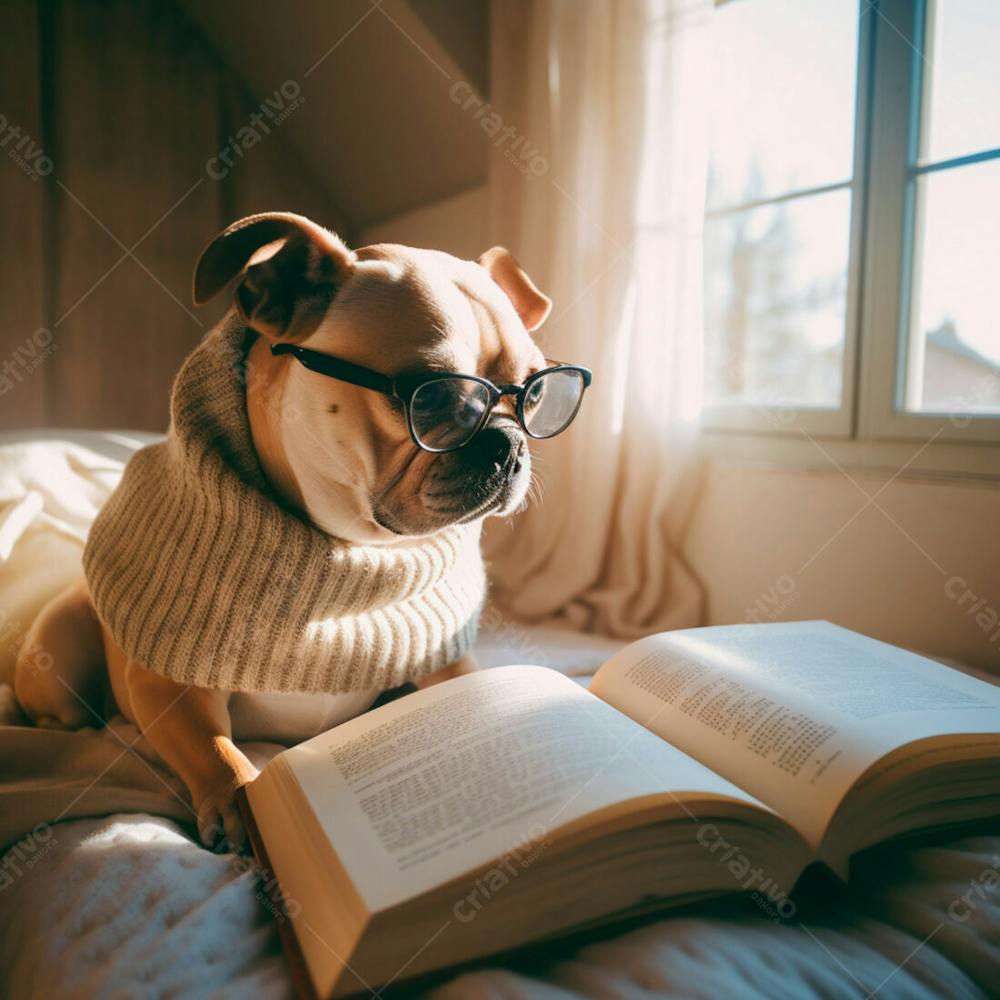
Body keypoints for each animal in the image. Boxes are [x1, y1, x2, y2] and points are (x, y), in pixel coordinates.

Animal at [15, 213, 560, 852]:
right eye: (435, 396)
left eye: (537, 393)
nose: (510, 444)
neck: (355, 546)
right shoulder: (170, 684)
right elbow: (214, 747)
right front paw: (240, 805)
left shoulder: (445, 660)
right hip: (59, 647)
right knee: (64, 715)